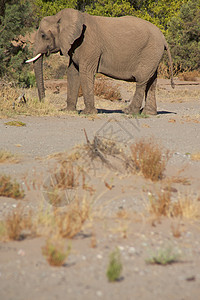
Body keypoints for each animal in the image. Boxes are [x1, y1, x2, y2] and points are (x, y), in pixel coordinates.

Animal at [25, 7, 174, 115]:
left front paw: (87, 113)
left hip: (149, 52)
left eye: (43, 35)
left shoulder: (89, 44)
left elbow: (85, 72)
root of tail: (164, 38)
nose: (44, 102)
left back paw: (129, 112)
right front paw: (68, 111)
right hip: (153, 55)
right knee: (152, 81)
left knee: (142, 80)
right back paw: (148, 113)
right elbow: (73, 72)